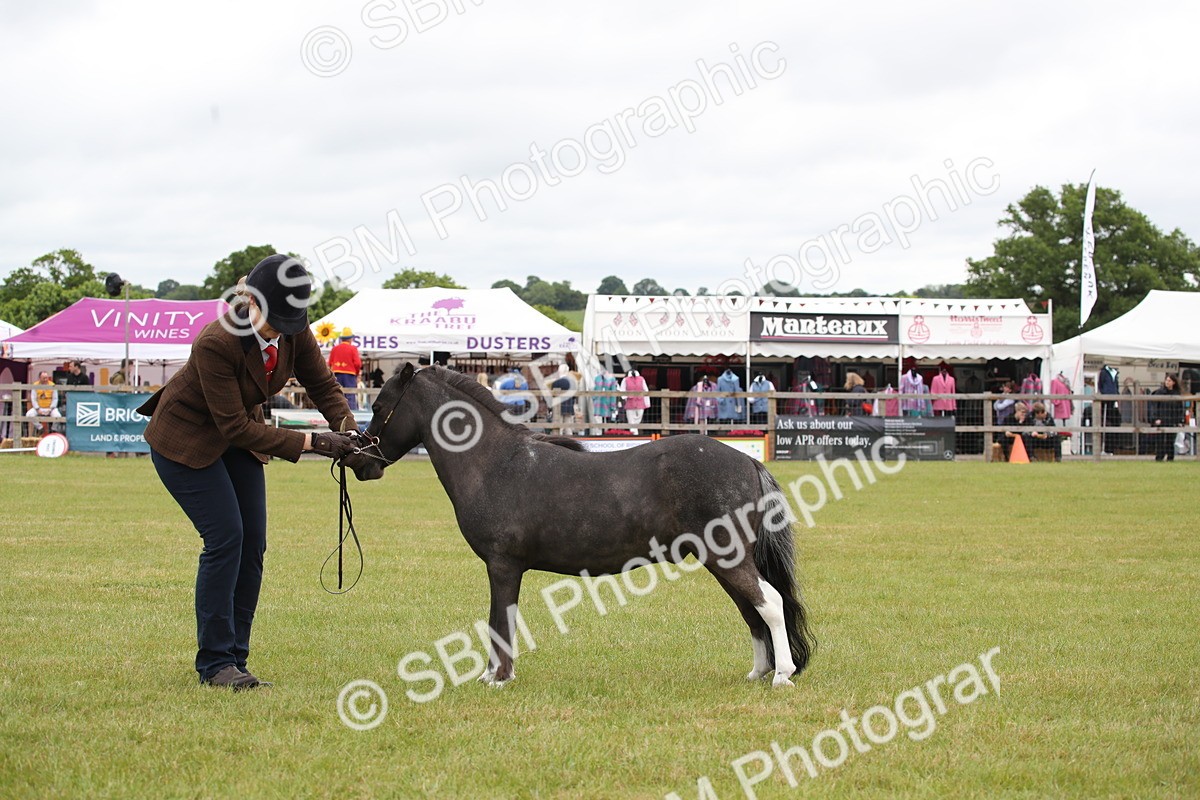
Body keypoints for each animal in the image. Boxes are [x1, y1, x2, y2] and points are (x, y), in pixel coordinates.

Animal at [344, 364, 814, 688]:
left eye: (381, 407)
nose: (362, 463)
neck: (494, 463)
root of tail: (749, 461)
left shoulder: (502, 566)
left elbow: (500, 620)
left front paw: (497, 678)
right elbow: (500, 620)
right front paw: (495, 675)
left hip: (727, 556)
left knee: (769, 603)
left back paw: (781, 675)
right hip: (721, 560)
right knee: (751, 610)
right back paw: (758, 673)